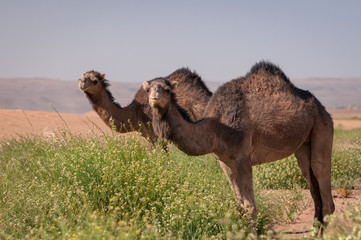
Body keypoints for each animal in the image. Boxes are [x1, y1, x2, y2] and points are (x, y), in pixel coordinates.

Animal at [79, 67, 211, 143]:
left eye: (95, 80)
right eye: (81, 77)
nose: (81, 83)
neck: (135, 111)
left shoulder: (155, 134)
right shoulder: (147, 135)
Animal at [142, 61, 334, 228]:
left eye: (167, 89)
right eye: (148, 89)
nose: (154, 97)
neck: (217, 126)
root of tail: (322, 107)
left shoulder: (243, 159)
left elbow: (250, 206)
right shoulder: (224, 161)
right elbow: (240, 205)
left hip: (322, 127)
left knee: (321, 175)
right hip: (303, 144)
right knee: (311, 179)